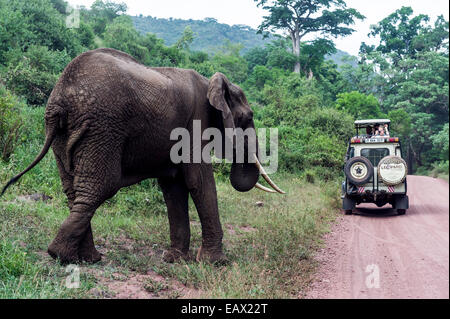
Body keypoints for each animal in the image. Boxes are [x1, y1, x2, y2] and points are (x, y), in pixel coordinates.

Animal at [1, 48, 284, 266]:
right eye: (248, 117)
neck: (212, 83)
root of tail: (60, 96)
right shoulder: (195, 123)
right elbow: (198, 181)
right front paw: (216, 264)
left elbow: (173, 186)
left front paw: (174, 259)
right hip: (103, 128)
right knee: (100, 187)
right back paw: (66, 257)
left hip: (67, 133)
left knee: (74, 190)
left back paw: (83, 257)